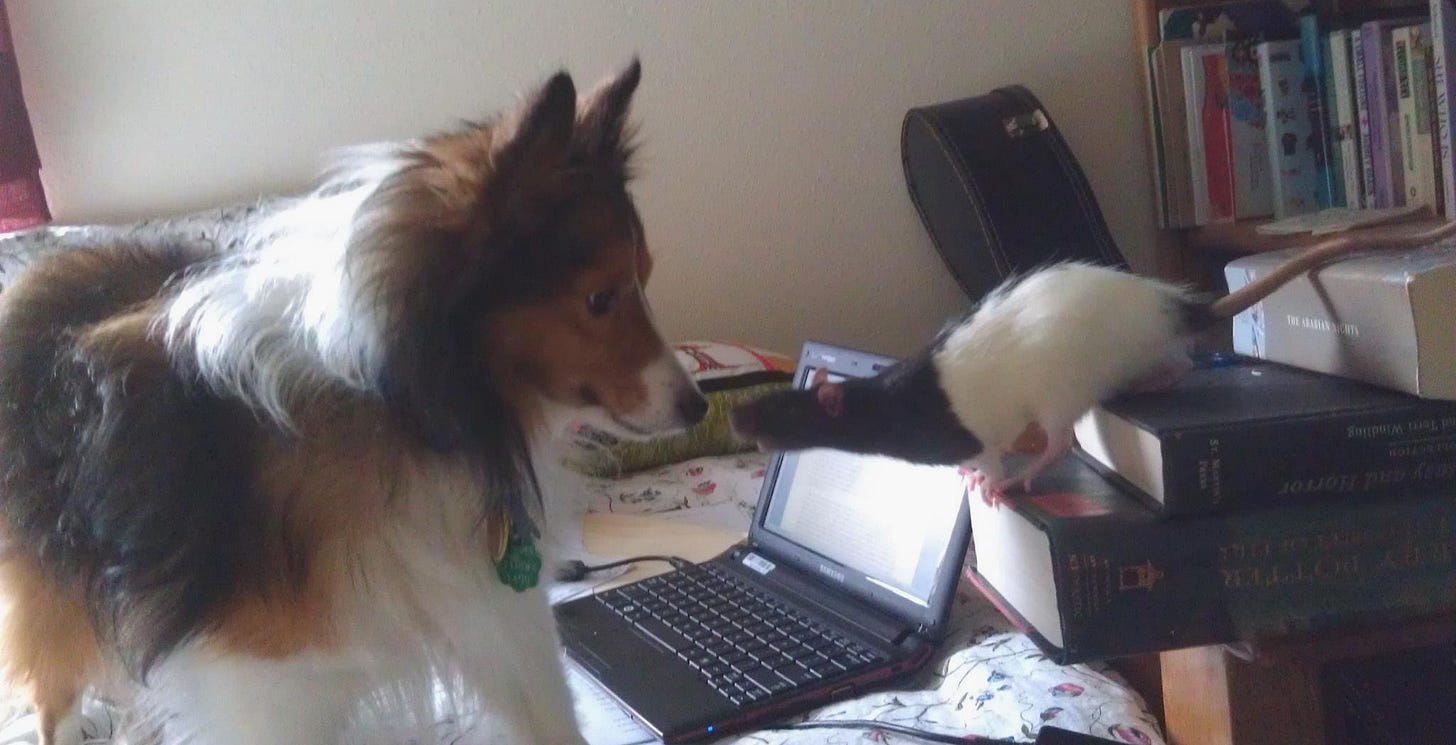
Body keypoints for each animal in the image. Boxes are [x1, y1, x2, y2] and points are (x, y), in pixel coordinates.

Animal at [0, 59, 704, 745]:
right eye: (600, 299)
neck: (410, 410)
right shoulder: (271, 681)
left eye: (642, 279)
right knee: (51, 686)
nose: (697, 407)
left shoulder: (498, 613)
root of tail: (39, 281)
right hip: (56, 585)